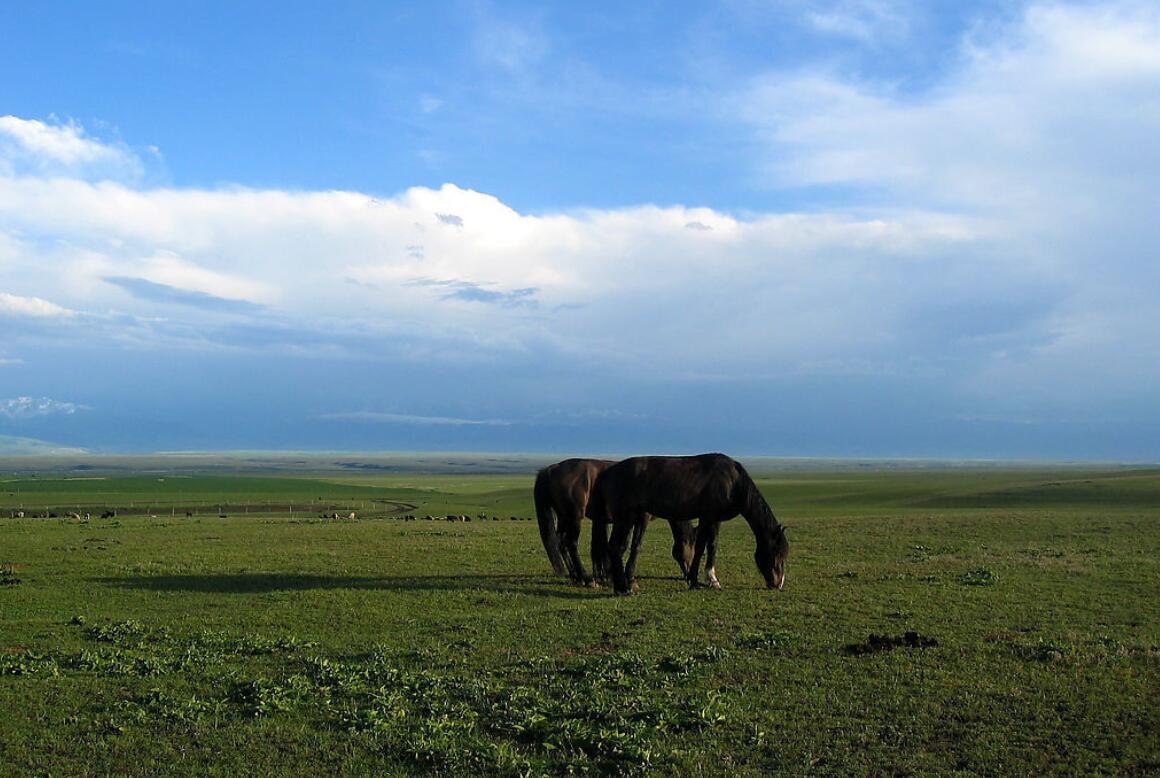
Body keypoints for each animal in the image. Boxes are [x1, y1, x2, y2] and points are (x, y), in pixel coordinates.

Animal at [531, 456, 691, 584]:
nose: (689, 575)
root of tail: (551, 469)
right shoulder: (641, 519)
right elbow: (635, 545)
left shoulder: (624, 521)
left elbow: (617, 545)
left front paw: (609, 575)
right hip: (575, 517)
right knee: (571, 543)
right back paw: (585, 578)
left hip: (564, 517)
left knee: (561, 543)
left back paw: (575, 576)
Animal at [589, 454, 788, 593]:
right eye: (776, 552)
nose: (778, 583)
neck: (732, 482)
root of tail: (606, 474)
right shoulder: (707, 517)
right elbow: (700, 548)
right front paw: (694, 581)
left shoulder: (715, 519)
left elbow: (712, 546)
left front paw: (712, 580)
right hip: (625, 517)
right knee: (616, 547)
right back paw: (623, 588)